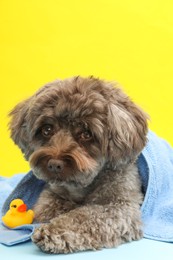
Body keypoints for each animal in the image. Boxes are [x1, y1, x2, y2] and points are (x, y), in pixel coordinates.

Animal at [8, 76, 148, 253]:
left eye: (86, 134)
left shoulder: (120, 206)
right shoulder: (54, 193)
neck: (83, 185)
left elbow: (83, 216)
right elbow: (46, 207)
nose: (54, 165)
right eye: (47, 129)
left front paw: (53, 231)